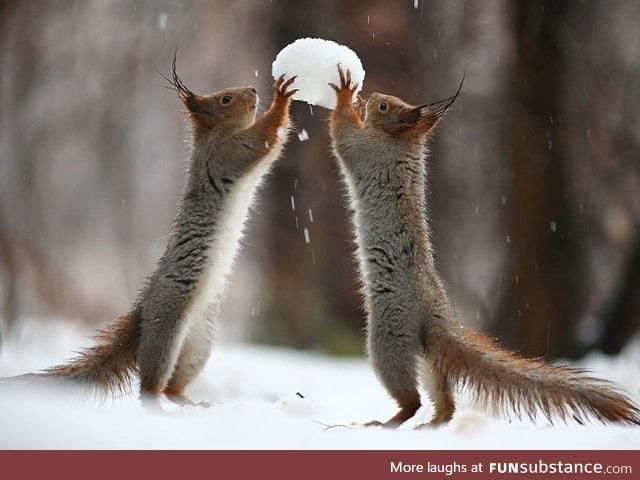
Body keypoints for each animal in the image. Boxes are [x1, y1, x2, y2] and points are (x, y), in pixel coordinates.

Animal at [5, 58, 298, 406]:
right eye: (226, 99)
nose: (253, 89)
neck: (216, 134)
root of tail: (142, 315)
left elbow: (274, 147)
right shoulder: (229, 153)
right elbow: (265, 139)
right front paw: (282, 97)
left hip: (199, 343)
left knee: (174, 385)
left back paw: (190, 402)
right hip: (166, 329)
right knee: (149, 385)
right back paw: (157, 404)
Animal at [330, 64, 640, 428]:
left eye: (384, 106)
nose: (373, 96)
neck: (402, 142)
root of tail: (437, 318)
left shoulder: (365, 150)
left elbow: (342, 135)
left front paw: (345, 94)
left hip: (388, 338)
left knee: (412, 397)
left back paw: (390, 421)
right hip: (427, 353)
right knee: (444, 399)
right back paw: (434, 422)